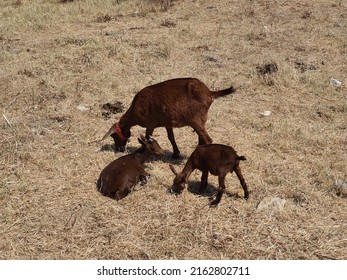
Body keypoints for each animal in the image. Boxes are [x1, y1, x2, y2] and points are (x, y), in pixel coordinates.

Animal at [100, 77, 237, 158]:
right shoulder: (167, 123)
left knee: (208, 139)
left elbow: (147, 137)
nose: (119, 149)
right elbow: (171, 137)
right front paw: (176, 153)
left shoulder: (150, 124)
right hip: (201, 119)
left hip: (195, 119)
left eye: (114, 136)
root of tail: (209, 93)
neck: (135, 110)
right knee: (202, 138)